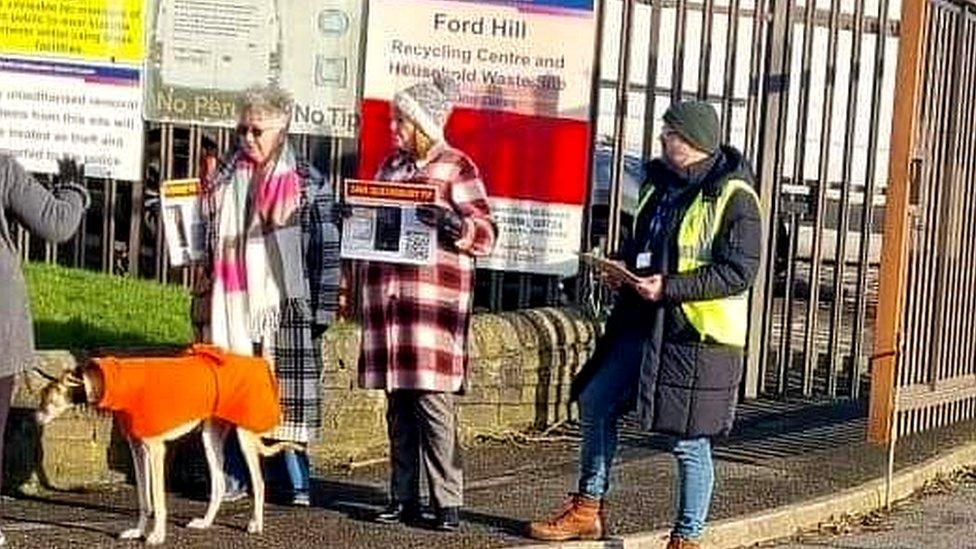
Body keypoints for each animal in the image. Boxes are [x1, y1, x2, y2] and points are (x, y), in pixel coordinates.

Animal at [35, 364, 294, 544]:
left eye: (47, 400)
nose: (35, 419)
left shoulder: (157, 450)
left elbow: (158, 500)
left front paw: (157, 536)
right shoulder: (138, 449)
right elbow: (144, 498)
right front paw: (138, 531)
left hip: (243, 436)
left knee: (258, 483)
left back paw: (255, 523)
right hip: (210, 437)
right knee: (219, 484)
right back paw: (205, 523)